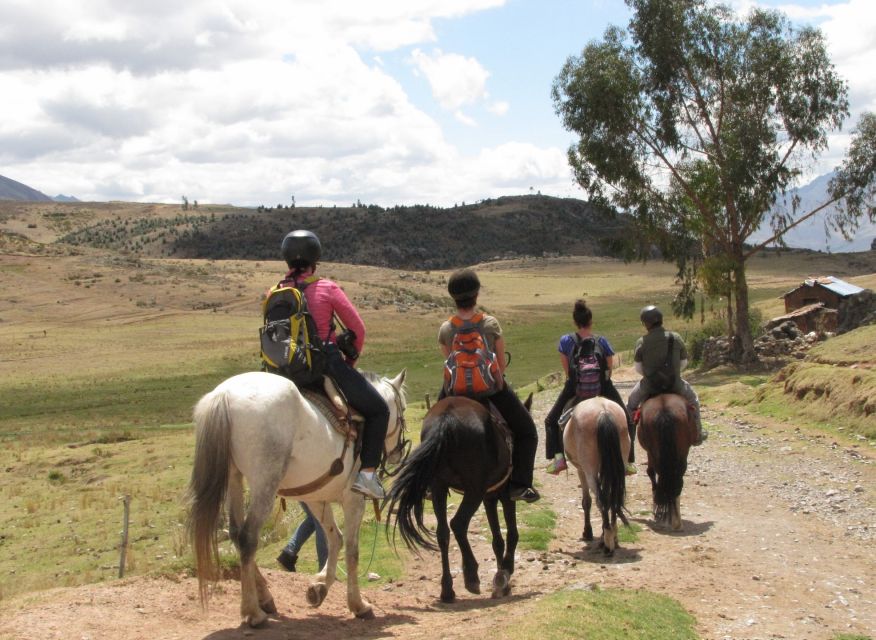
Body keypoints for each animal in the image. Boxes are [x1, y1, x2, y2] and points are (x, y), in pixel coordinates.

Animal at [188, 370, 408, 624]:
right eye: (402, 409)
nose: (399, 452)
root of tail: (224, 395)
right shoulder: (353, 500)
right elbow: (352, 550)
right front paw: (358, 605)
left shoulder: (316, 498)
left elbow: (335, 538)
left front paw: (320, 587)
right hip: (264, 484)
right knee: (248, 537)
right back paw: (253, 612)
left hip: (233, 478)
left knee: (235, 533)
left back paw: (266, 598)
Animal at [392, 396, 532, 604]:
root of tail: (446, 418)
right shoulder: (504, 496)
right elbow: (511, 534)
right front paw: (505, 574)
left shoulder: (490, 497)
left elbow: (497, 540)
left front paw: (501, 582)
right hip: (474, 490)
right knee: (458, 524)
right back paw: (471, 576)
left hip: (439, 486)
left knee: (443, 533)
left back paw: (447, 590)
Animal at [564, 396, 632, 556]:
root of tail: (604, 412)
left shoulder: (581, 470)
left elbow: (587, 502)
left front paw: (588, 532)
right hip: (618, 466)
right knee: (613, 498)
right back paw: (613, 537)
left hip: (590, 471)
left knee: (602, 500)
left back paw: (607, 544)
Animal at [636, 396, 700, 528]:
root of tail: (664, 410)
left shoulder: (649, 453)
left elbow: (651, 473)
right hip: (682, 451)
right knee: (677, 479)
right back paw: (676, 521)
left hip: (656, 452)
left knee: (664, 477)